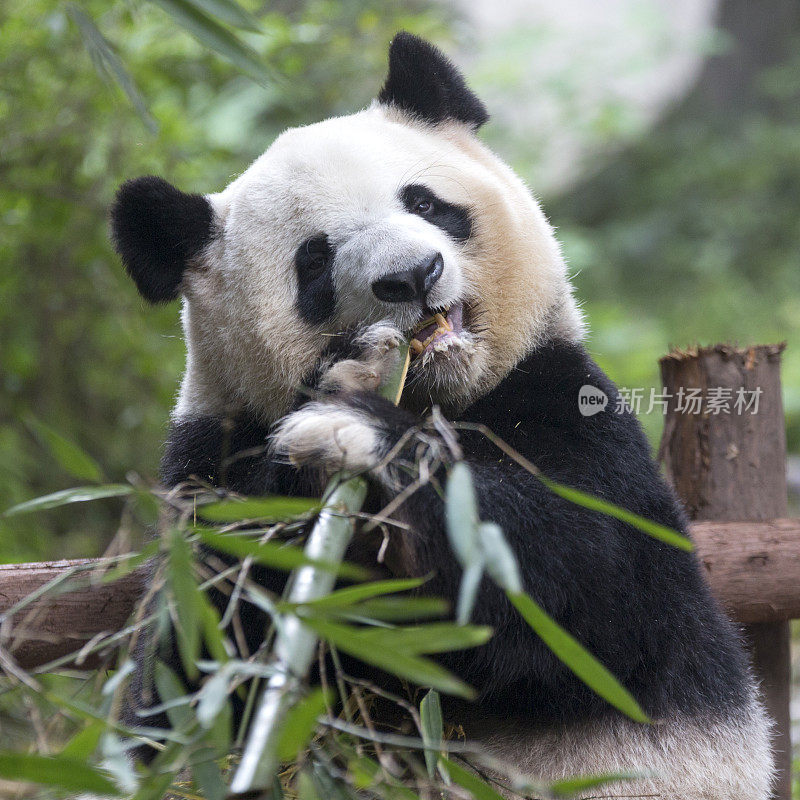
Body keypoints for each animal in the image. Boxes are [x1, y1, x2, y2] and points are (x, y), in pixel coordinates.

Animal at [109, 32, 772, 800]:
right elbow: (200, 664)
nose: (412, 274)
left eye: (424, 201)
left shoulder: (563, 402)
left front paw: (354, 436)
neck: (441, 398)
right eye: (313, 260)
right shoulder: (212, 474)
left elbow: (587, 584)